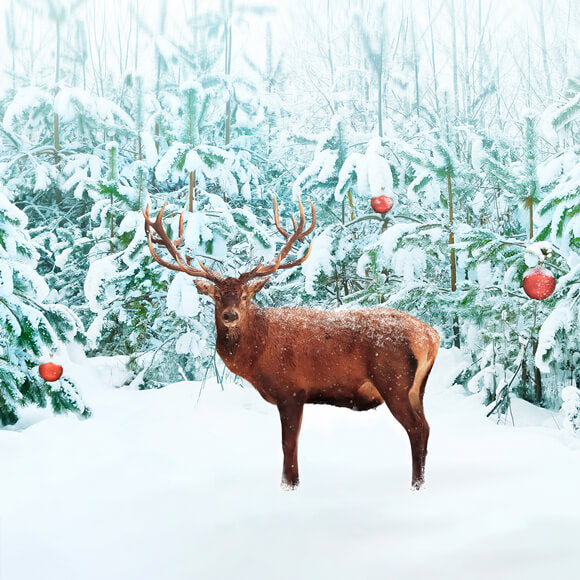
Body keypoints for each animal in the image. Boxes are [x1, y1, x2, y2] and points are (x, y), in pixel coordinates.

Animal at [144, 196, 440, 490]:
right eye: (216, 297)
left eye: (245, 296)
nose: (230, 315)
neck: (256, 356)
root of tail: (430, 336)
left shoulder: (291, 390)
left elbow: (289, 445)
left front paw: (290, 484)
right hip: (418, 388)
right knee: (426, 428)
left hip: (393, 380)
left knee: (416, 428)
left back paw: (415, 485)